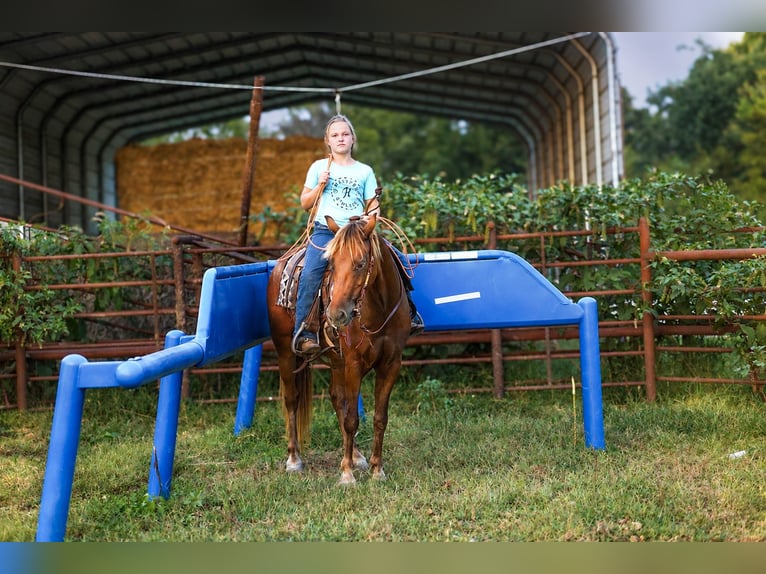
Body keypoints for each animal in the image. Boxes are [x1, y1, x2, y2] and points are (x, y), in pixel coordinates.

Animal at [266, 213, 411, 485]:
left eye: (360, 263)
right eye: (331, 264)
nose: (336, 314)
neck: (379, 307)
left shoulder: (391, 364)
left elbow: (379, 418)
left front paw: (377, 469)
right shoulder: (354, 363)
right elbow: (352, 419)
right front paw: (346, 474)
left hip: (336, 361)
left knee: (337, 398)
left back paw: (356, 455)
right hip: (285, 352)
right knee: (292, 399)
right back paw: (294, 459)